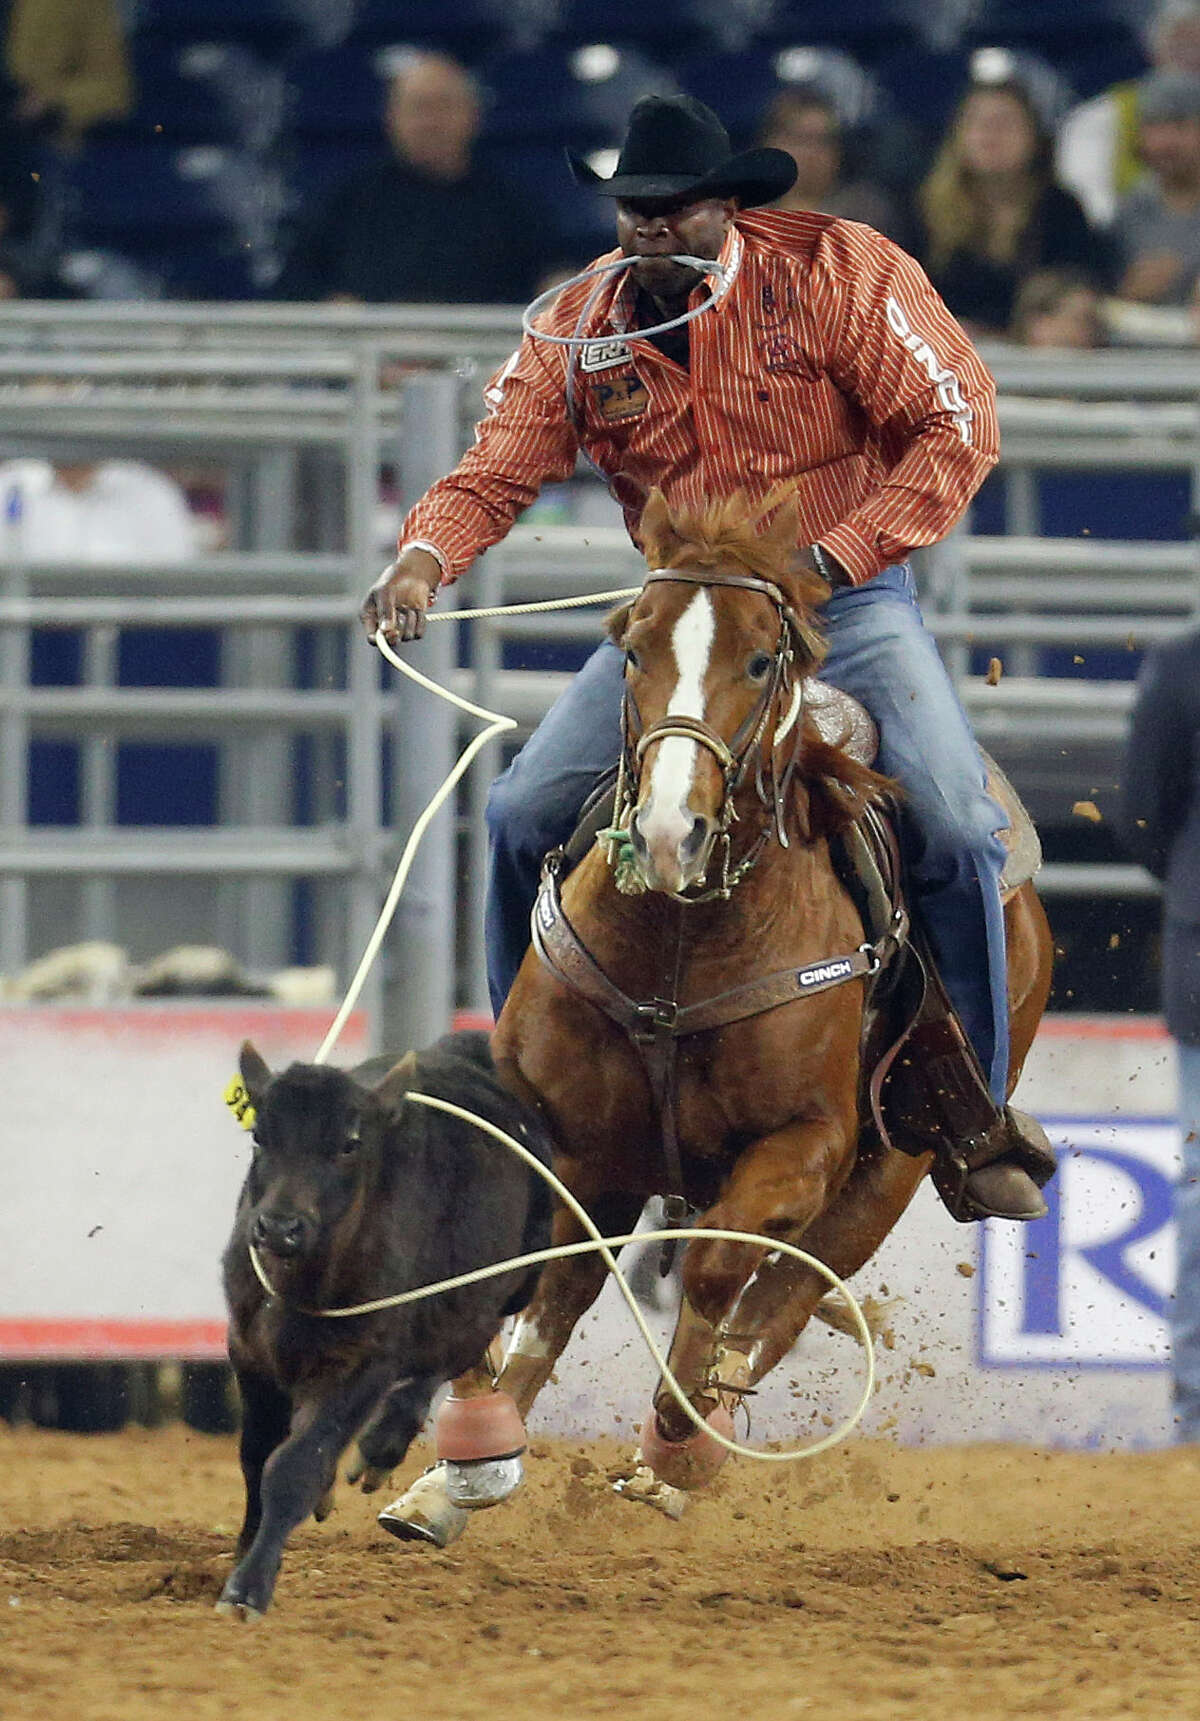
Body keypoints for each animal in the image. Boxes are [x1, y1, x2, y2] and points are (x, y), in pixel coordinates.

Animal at [378, 485, 1046, 1535]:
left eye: (763, 659)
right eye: (631, 647)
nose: (667, 830)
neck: (681, 948)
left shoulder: (804, 1143)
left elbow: (719, 1270)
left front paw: (679, 1428)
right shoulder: (577, 1147)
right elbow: (544, 1282)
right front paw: (467, 1461)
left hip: (897, 1163)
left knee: (787, 1286)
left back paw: (691, 1434)